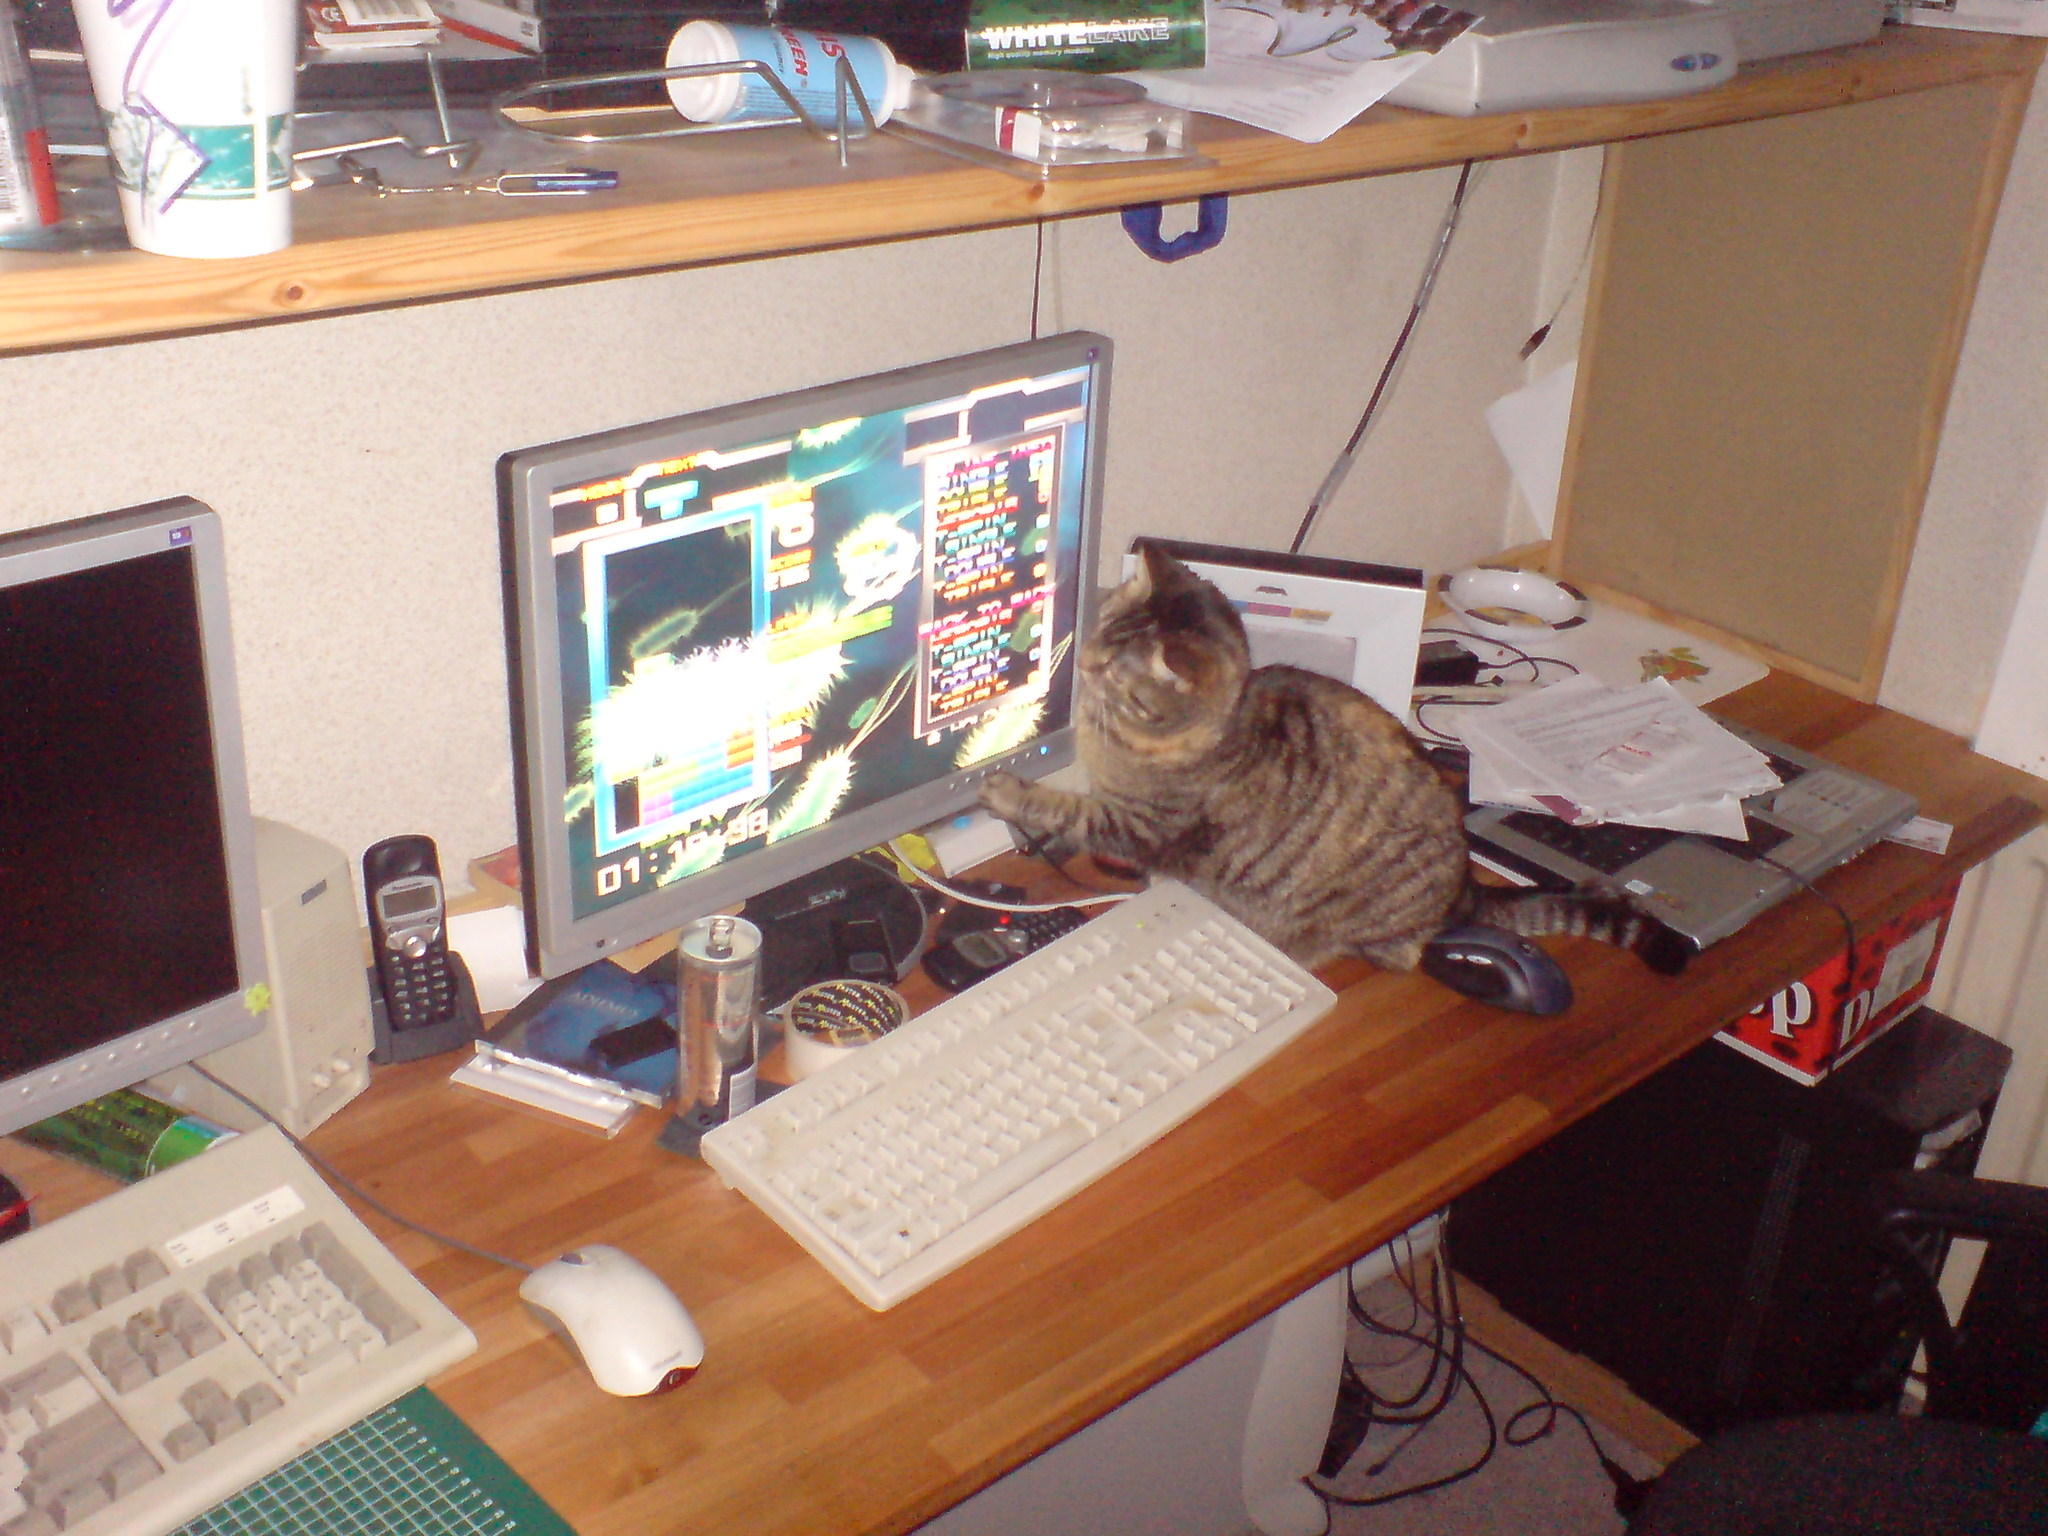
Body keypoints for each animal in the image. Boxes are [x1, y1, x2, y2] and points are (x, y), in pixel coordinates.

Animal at [977, 542, 1689, 978]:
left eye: (1117, 675)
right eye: (1098, 635)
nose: (1081, 672)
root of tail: (1465, 891)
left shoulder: (1137, 823)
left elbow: (1065, 807)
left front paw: (1005, 790)